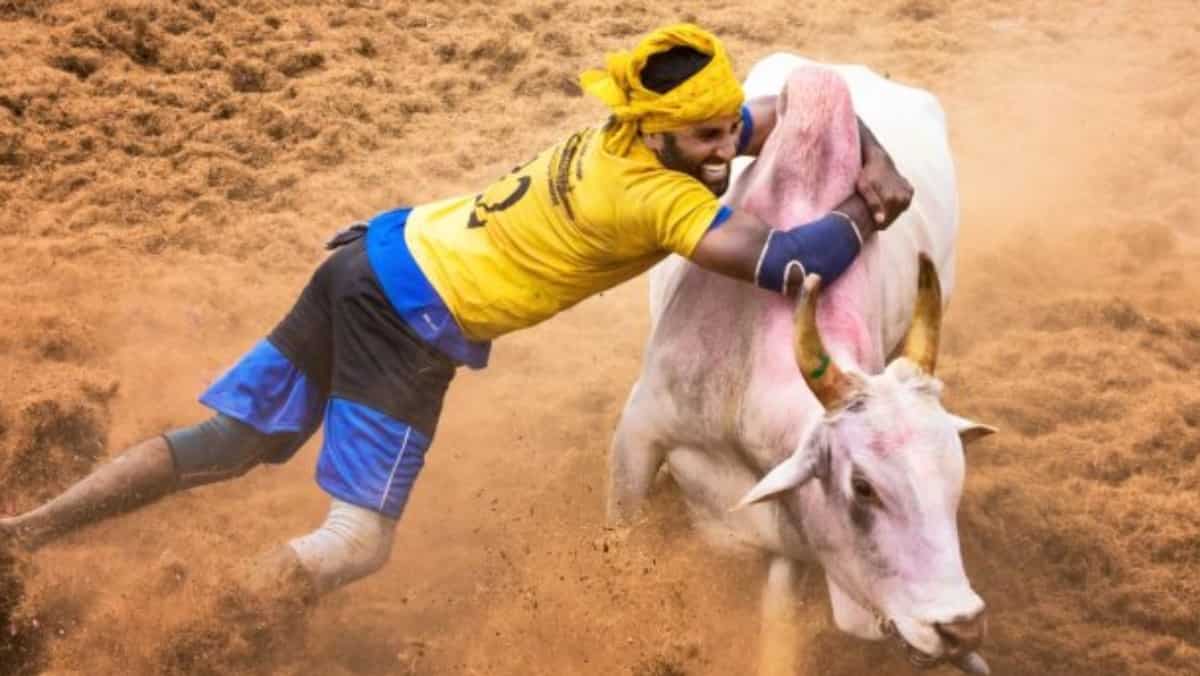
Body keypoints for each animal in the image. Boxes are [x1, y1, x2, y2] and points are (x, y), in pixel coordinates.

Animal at [608, 53, 997, 675]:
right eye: (862, 486)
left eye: (956, 474)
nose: (960, 627)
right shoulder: (639, 431)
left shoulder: (792, 535)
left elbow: (778, 625)